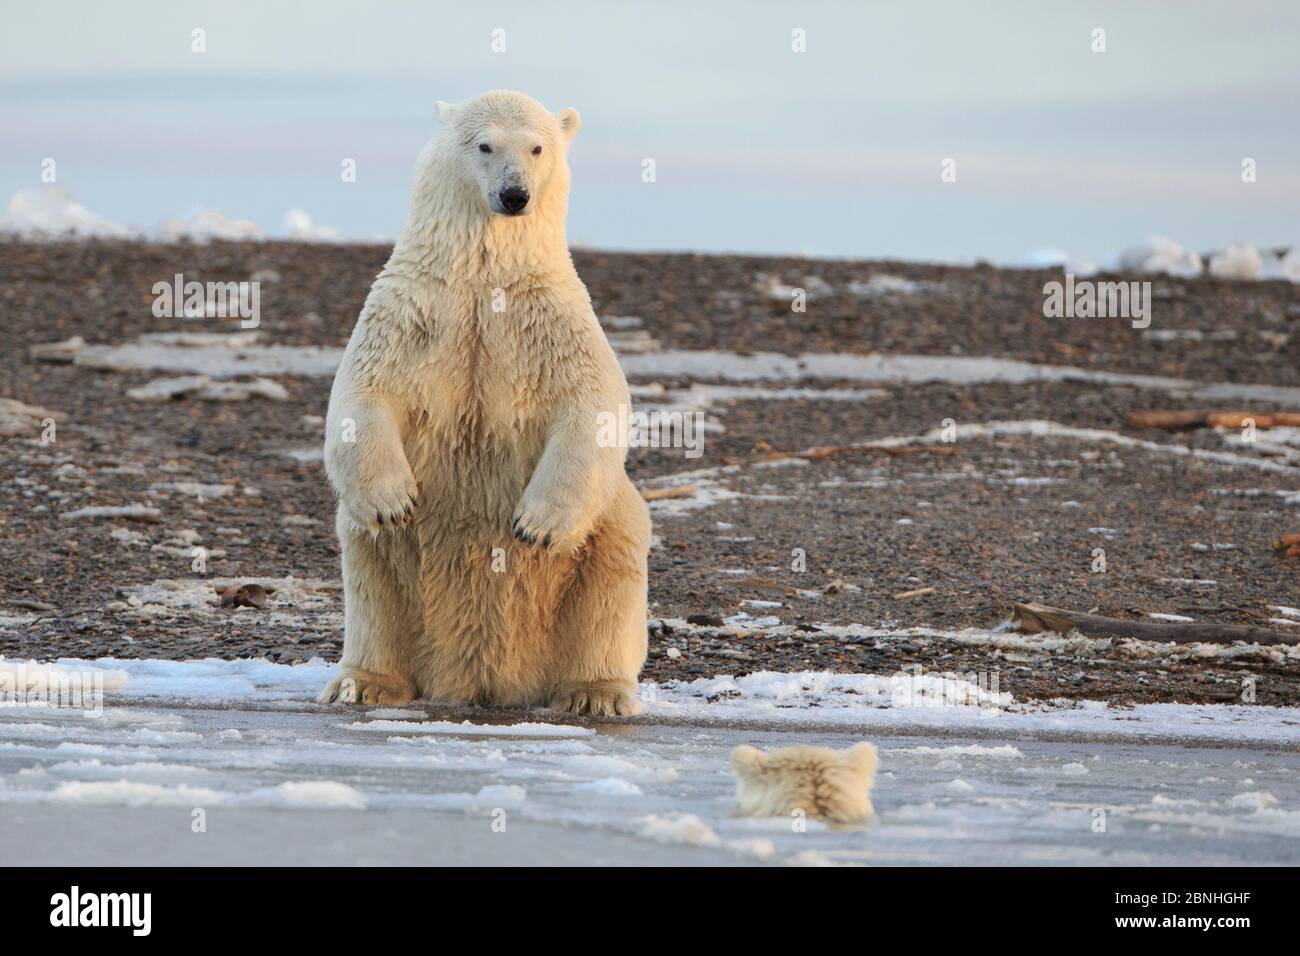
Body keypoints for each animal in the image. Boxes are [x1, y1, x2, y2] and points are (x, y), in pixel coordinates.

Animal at [316, 90, 650, 717]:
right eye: (485, 144)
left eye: (538, 147)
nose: (514, 195)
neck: (482, 277)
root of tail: (482, 676)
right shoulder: (412, 308)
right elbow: (362, 390)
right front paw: (395, 500)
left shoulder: (551, 318)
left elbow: (592, 401)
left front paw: (535, 527)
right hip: (386, 565)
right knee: (372, 573)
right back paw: (364, 682)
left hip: (605, 529)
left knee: (613, 570)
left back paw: (593, 693)